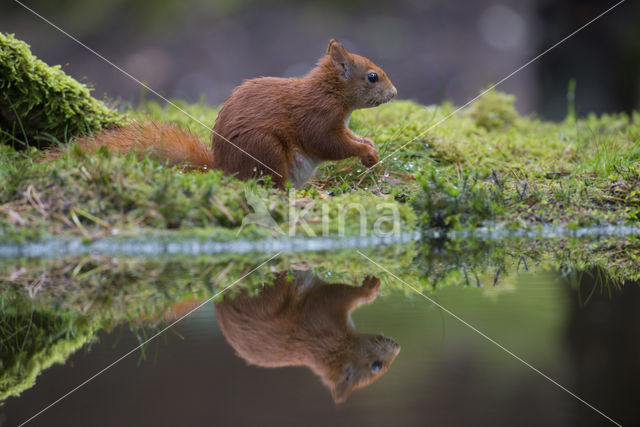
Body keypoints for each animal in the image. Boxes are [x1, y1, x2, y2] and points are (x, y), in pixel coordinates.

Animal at [70, 39, 396, 187]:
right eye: (372, 77)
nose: (394, 94)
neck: (331, 93)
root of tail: (224, 169)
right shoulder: (318, 117)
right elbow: (328, 144)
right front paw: (365, 151)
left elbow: (349, 136)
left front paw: (368, 144)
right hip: (266, 151)